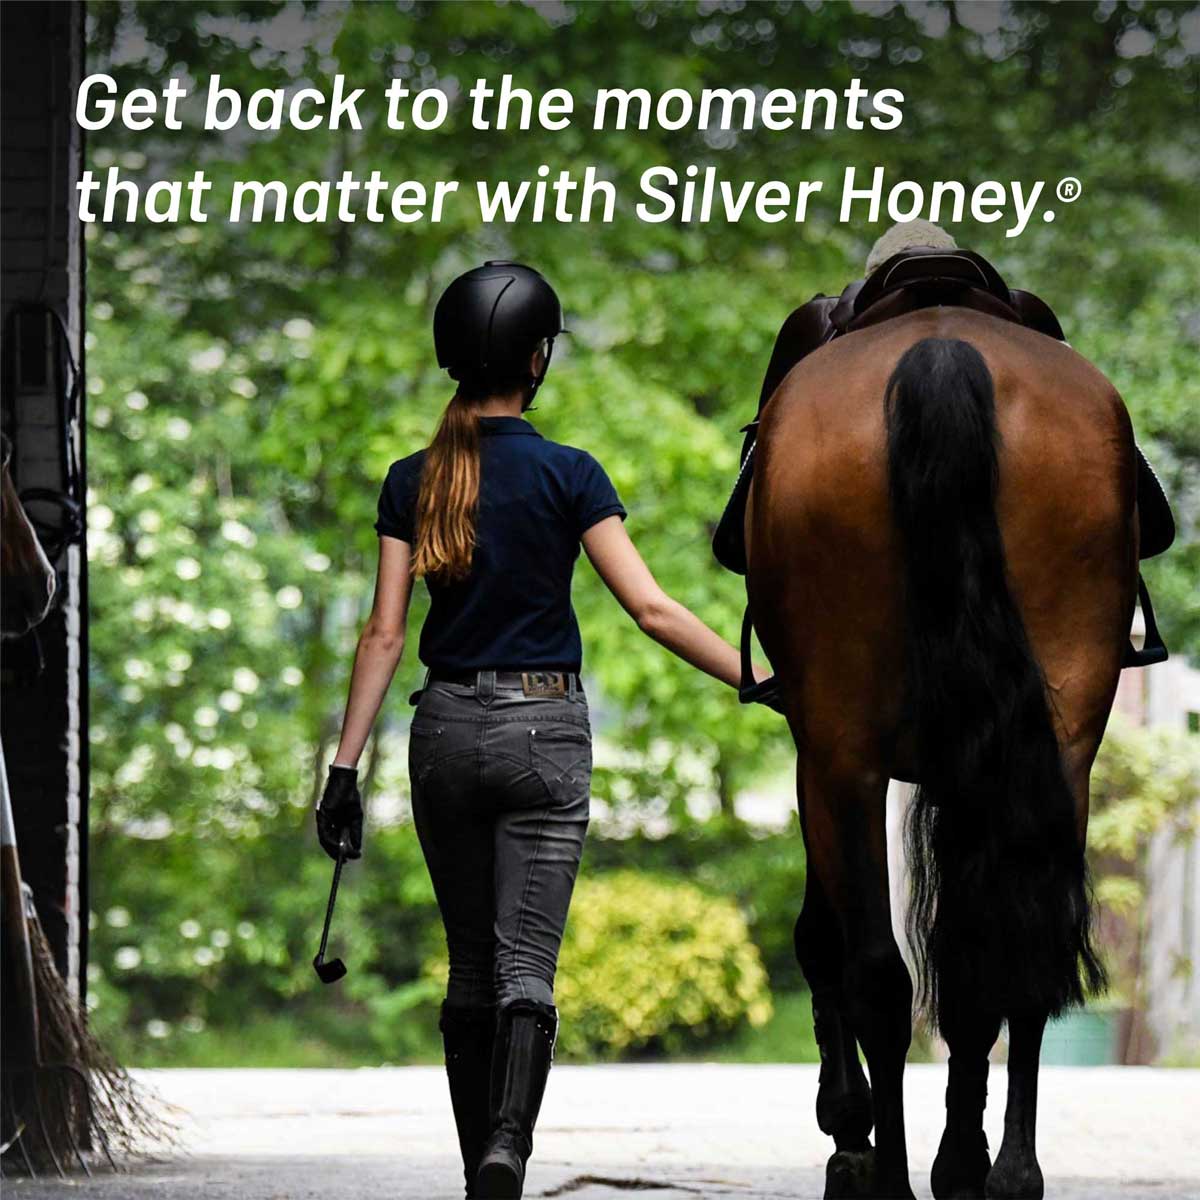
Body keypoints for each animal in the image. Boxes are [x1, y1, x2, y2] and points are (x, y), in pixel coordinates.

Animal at [747, 308, 1132, 1200]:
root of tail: (943, 348)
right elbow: (971, 967)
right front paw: (961, 1153)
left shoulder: (819, 759)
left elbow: (824, 937)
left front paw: (849, 1121)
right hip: (1057, 754)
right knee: (1021, 947)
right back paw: (1009, 1171)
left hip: (844, 758)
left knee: (879, 977)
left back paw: (887, 1169)